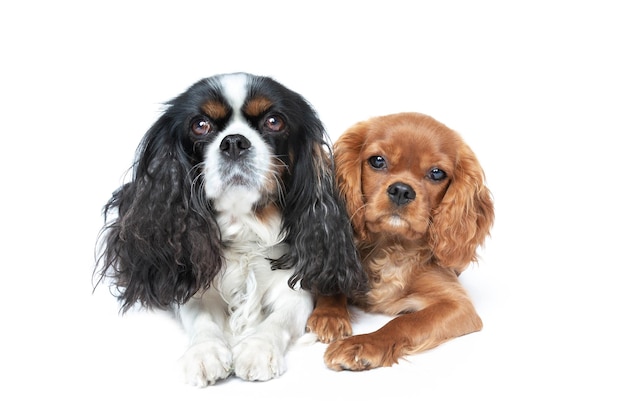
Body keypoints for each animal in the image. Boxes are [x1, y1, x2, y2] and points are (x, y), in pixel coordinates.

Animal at [94, 70, 364, 384]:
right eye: (200, 125)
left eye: (274, 121)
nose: (234, 142)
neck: (244, 227)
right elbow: (201, 316)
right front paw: (205, 352)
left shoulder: (294, 292)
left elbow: (279, 319)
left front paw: (258, 348)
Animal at [306, 112, 492, 368]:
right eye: (377, 161)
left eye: (437, 173)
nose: (402, 190)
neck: (392, 245)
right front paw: (329, 315)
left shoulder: (458, 305)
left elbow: (406, 322)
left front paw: (362, 344)